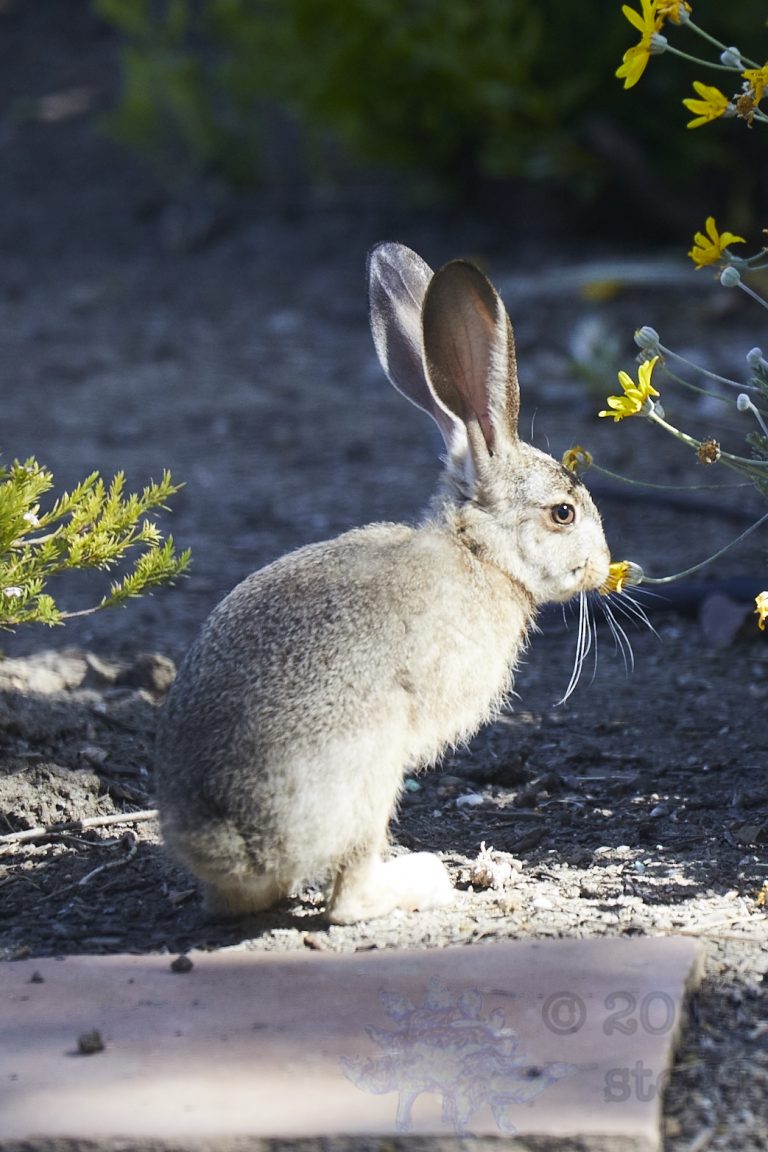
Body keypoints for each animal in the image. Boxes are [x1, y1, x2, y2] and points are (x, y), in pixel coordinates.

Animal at [155, 242, 611, 925]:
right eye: (563, 513)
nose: (606, 566)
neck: (479, 552)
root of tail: (232, 837)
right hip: (374, 769)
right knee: (348, 898)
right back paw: (425, 878)